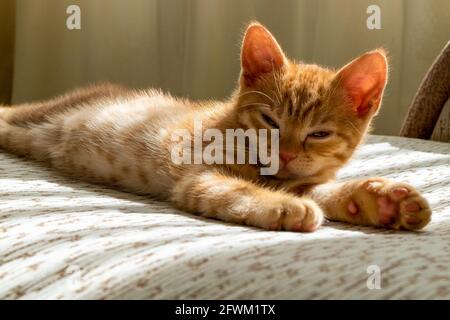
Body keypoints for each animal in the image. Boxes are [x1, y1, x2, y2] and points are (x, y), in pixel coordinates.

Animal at [0, 23, 432, 232]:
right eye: (270, 121)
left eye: (319, 134)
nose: (286, 153)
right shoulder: (199, 175)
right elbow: (236, 190)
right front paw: (284, 207)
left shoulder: (300, 177)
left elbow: (320, 189)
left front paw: (379, 201)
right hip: (34, 114)